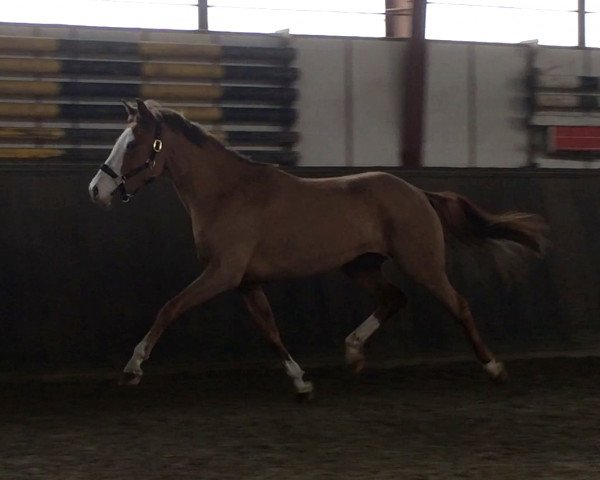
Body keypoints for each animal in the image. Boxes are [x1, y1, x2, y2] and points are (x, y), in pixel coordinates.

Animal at [88, 98, 548, 398]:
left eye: (132, 145)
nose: (97, 190)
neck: (226, 193)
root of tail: (419, 193)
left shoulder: (223, 273)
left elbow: (170, 308)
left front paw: (132, 369)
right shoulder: (246, 281)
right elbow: (270, 330)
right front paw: (301, 381)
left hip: (422, 263)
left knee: (458, 304)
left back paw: (494, 367)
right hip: (361, 265)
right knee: (394, 299)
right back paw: (354, 353)